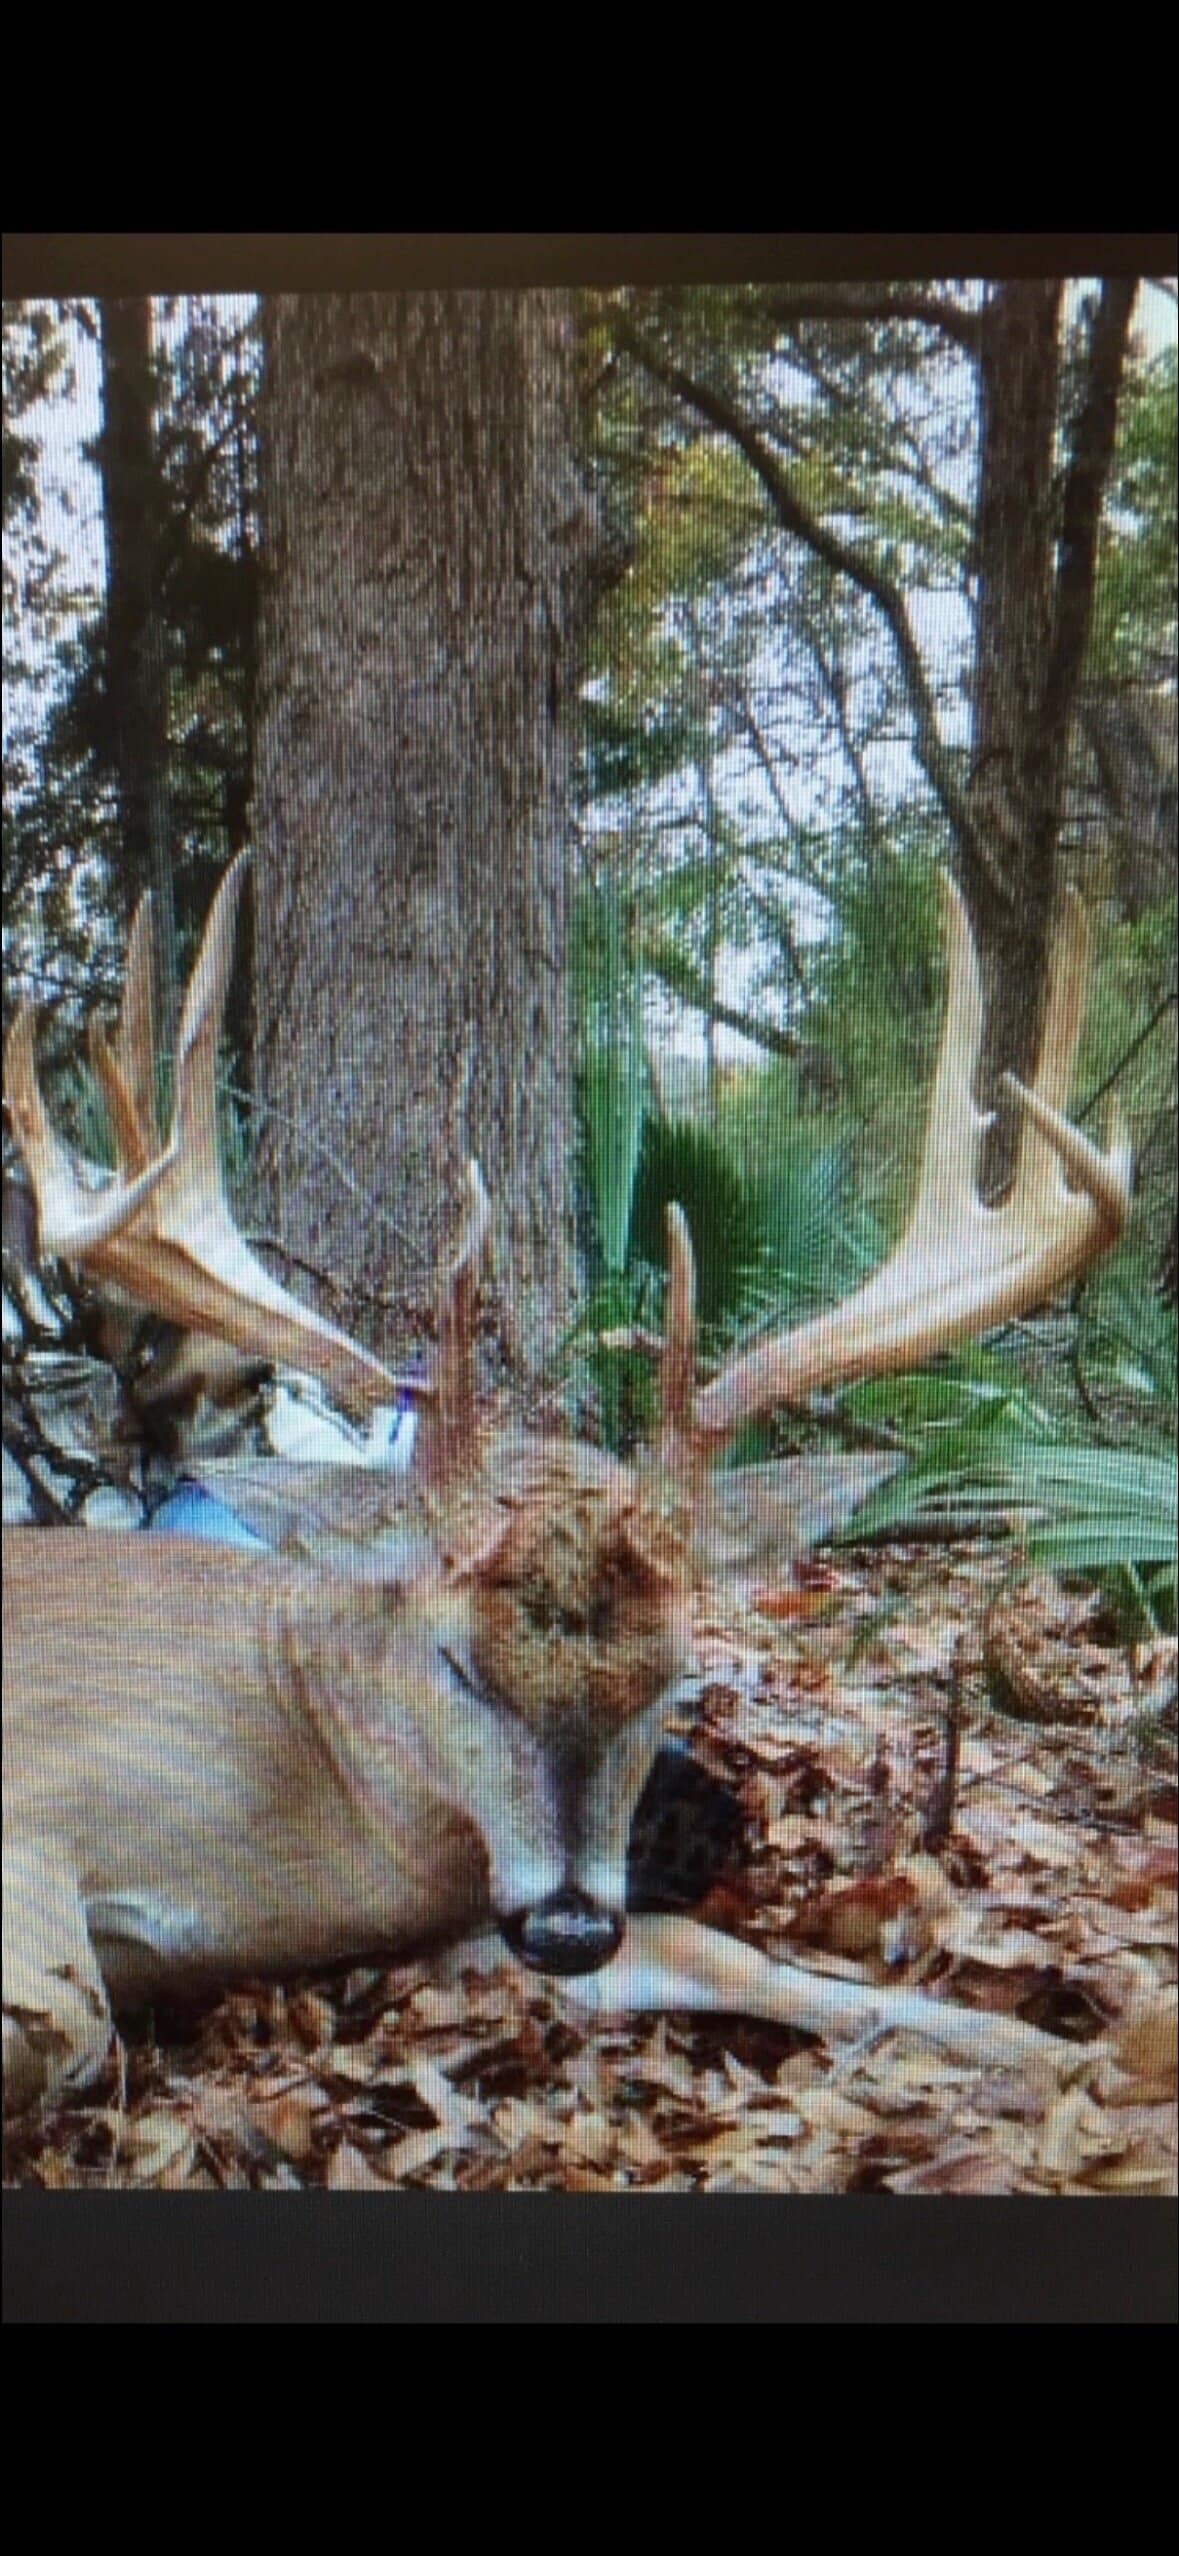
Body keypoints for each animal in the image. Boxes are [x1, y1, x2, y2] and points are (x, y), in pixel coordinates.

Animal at [2, 856, 1133, 2128]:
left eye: (674, 1671)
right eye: (454, 1662)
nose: (570, 1928)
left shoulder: (475, 1915)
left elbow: (723, 1950)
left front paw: (1044, 2050)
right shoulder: (47, 1789)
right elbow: (72, 2024)